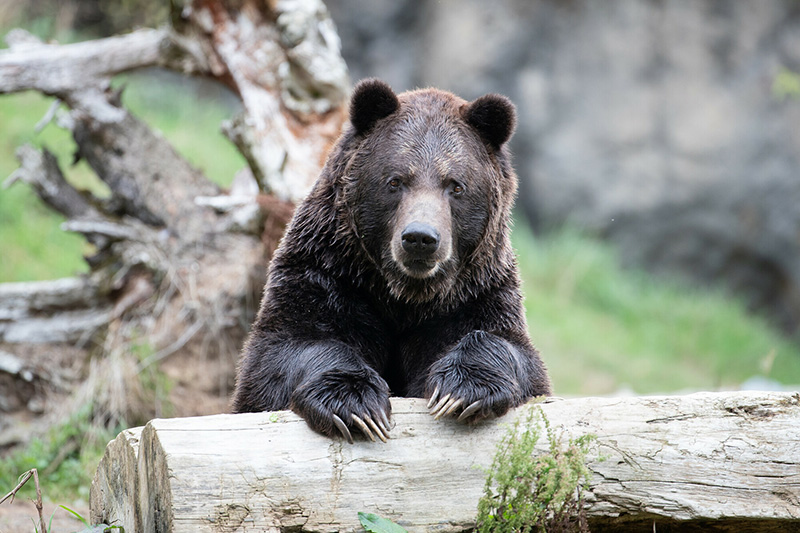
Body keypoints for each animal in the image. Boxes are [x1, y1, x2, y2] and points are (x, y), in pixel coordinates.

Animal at [232, 78, 551, 442]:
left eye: (455, 186)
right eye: (396, 180)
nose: (420, 238)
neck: (405, 296)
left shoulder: (473, 295)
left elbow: (513, 352)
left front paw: (462, 389)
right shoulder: (327, 277)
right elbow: (284, 351)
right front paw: (355, 402)